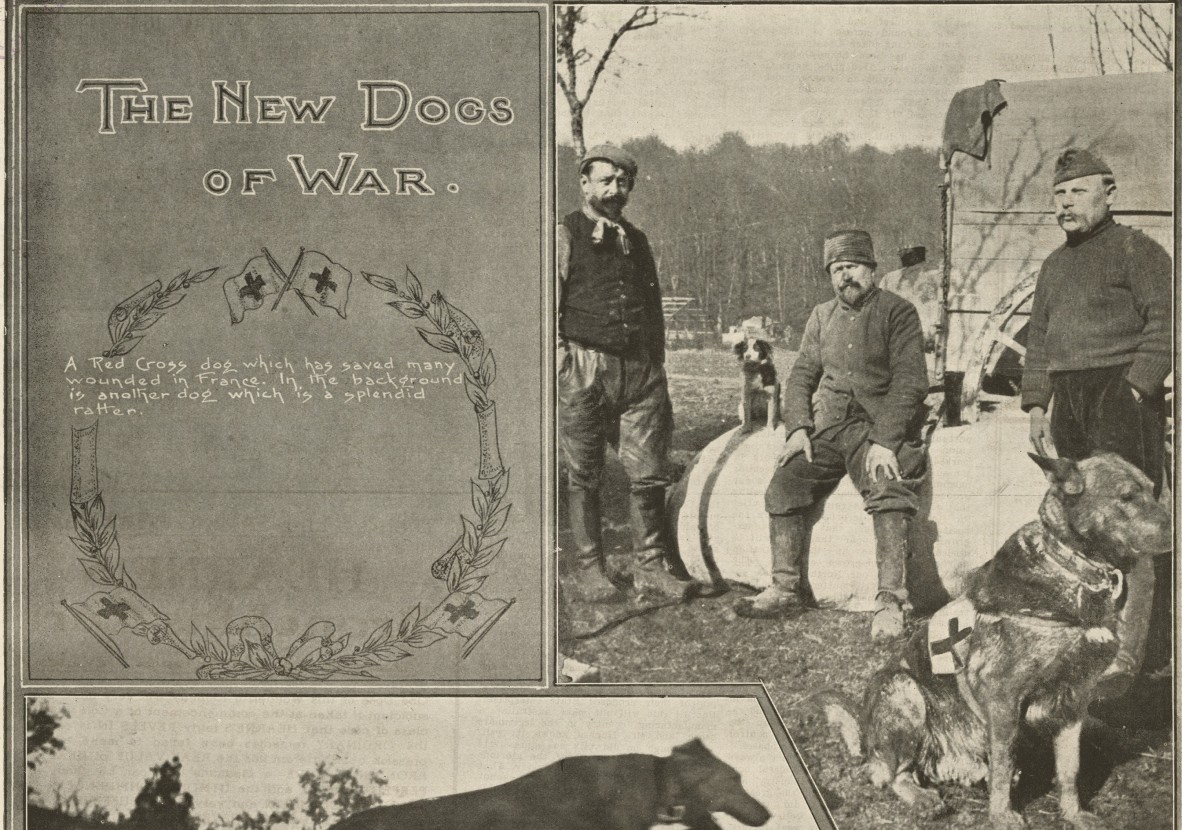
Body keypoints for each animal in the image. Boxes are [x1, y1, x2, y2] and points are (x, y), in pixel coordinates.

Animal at [822, 454, 1172, 830]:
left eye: (1153, 490)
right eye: (1127, 497)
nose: (1175, 529)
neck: (1072, 568)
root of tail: (866, 734)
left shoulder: (1073, 701)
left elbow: (1069, 769)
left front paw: (1072, 813)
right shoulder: (1003, 696)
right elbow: (1003, 766)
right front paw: (1002, 815)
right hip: (904, 689)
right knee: (891, 774)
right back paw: (922, 797)